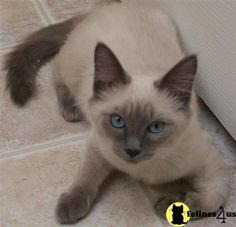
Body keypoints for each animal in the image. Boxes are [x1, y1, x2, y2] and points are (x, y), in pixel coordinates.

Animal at [5, 2, 229, 225]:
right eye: (118, 121)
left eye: (156, 127)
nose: (132, 150)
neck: (141, 170)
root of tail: (104, 8)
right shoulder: (97, 145)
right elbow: (86, 177)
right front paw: (70, 205)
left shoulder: (209, 162)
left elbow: (212, 199)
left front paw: (173, 204)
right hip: (71, 67)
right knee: (56, 68)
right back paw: (71, 108)